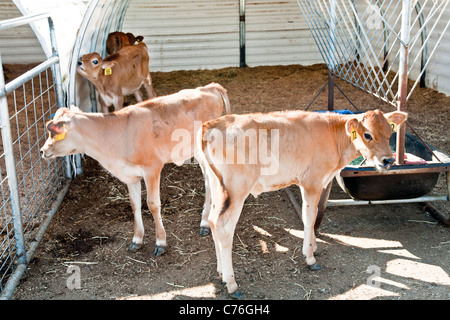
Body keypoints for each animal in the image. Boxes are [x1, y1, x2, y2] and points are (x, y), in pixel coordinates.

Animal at [40, 84, 230, 256]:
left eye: (54, 133)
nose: (42, 151)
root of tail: (208, 87)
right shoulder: (130, 176)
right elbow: (134, 204)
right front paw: (137, 239)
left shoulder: (152, 168)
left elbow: (153, 205)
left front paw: (161, 242)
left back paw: (205, 222)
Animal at [197, 108, 408, 298]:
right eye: (367, 134)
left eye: (390, 132)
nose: (388, 160)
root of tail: (211, 124)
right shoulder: (312, 182)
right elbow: (309, 218)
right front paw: (310, 257)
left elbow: (312, 217)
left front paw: (313, 247)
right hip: (237, 188)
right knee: (224, 227)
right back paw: (232, 284)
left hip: (217, 186)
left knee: (213, 220)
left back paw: (221, 272)